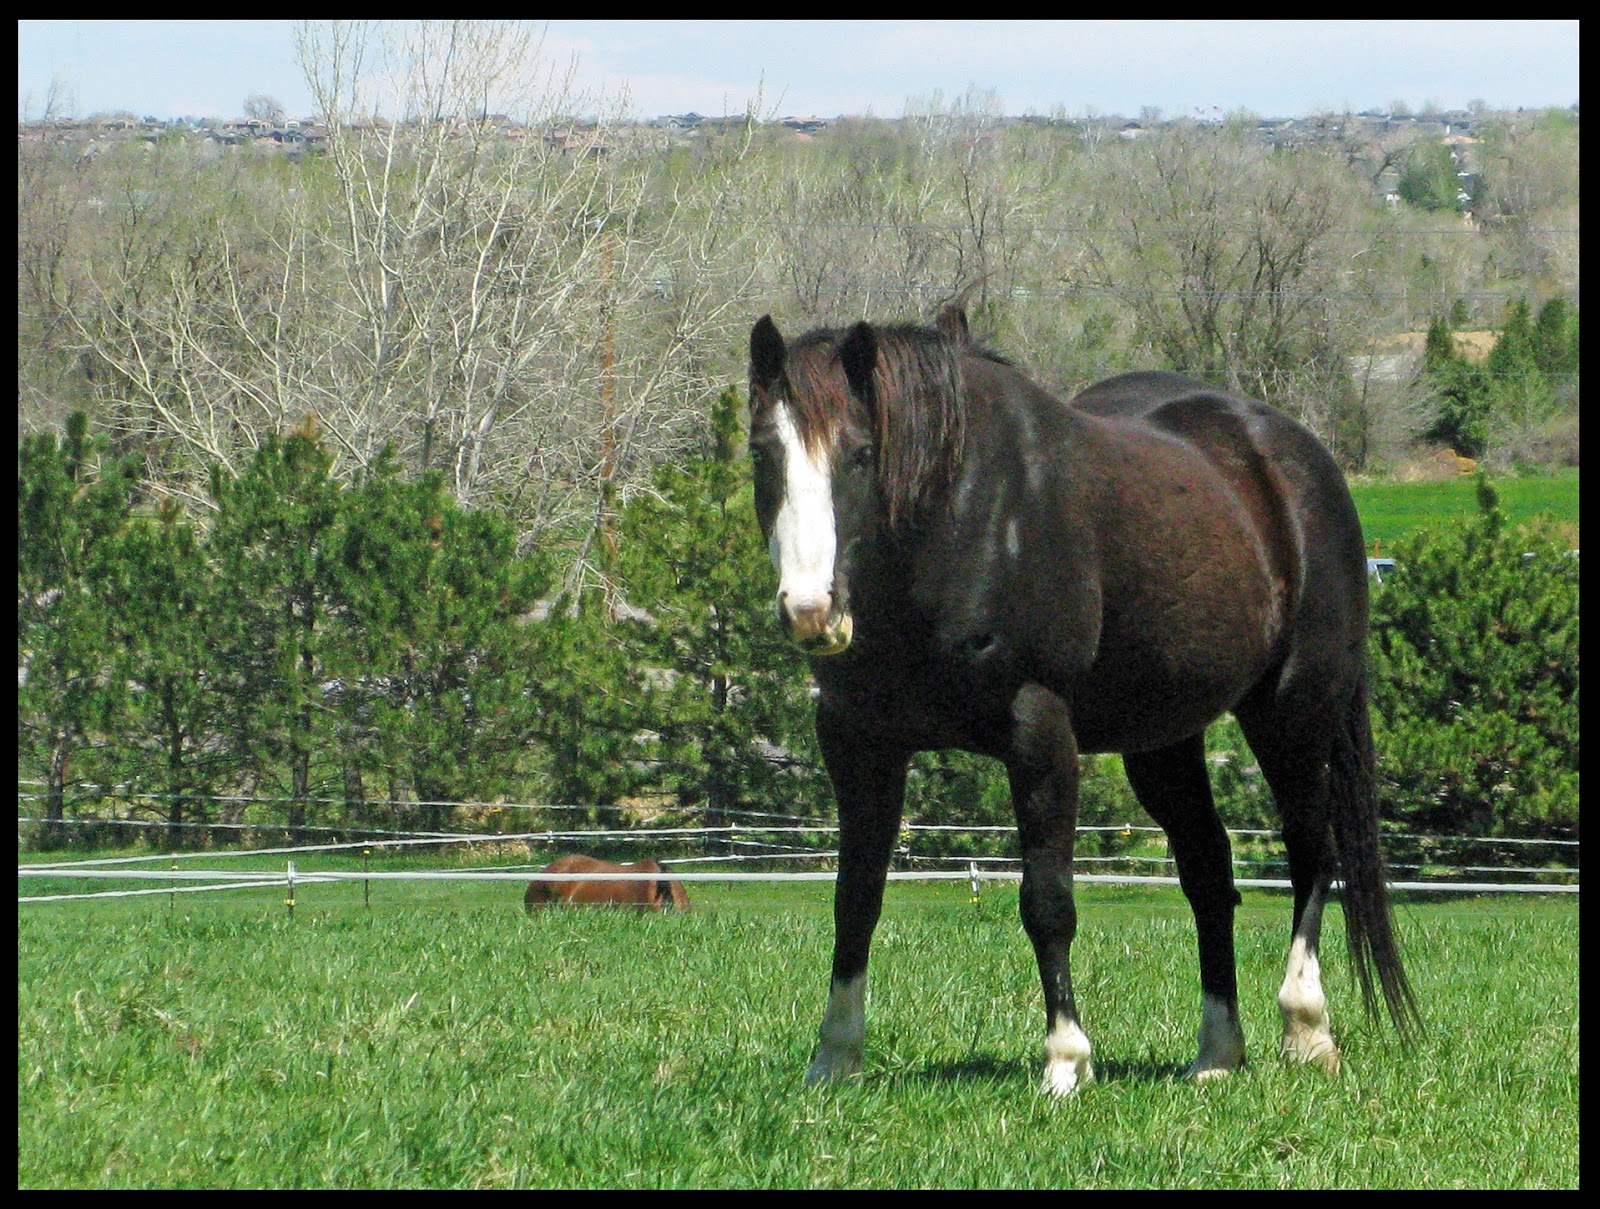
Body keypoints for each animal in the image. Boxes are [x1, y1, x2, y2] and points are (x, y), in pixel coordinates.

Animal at [747, 306, 1416, 1094]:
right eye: (763, 452)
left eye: (858, 453)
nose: (810, 611)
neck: (960, 524)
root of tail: (1292, 455)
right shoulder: (858, 742)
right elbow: (855, 897)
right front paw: (835, 1057)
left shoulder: (1038, 733)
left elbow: (1048, 901)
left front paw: (1066, 1059)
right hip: (1163, 742)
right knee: (1209, 872)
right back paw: (1218, 1052)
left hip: (1292, 716)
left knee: (1312, 851)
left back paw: (1306, 1027)